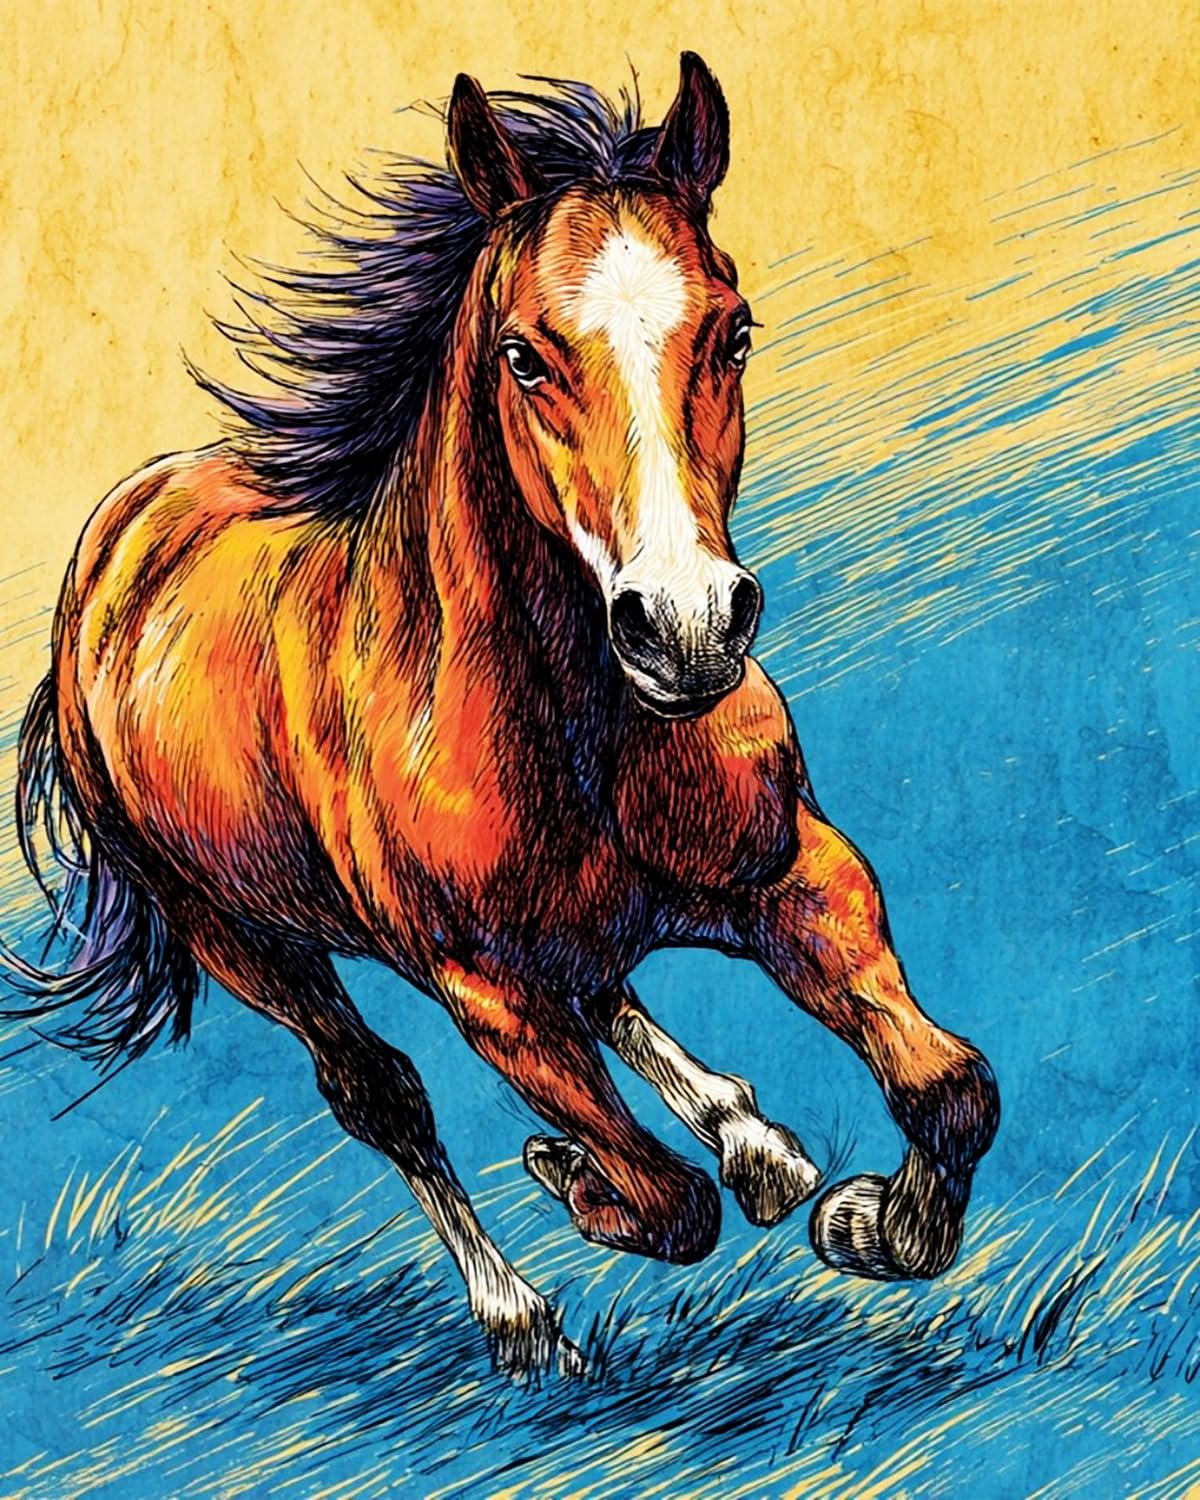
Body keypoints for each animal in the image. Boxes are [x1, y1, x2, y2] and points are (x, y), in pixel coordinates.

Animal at [4, 53, 999, 1376]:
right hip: (239, 936)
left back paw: (755, 1142)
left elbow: (950, 1086)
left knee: (611, 991)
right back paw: (522, 1316)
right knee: (382, 1095)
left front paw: (869, 1221)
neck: (582, 729)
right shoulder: (489, 997)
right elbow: (665, 1201)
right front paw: (568, 1170)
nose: (687, 625)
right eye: (525, 355)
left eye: (735, 330)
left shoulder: (798, 873)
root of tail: (119, 535)